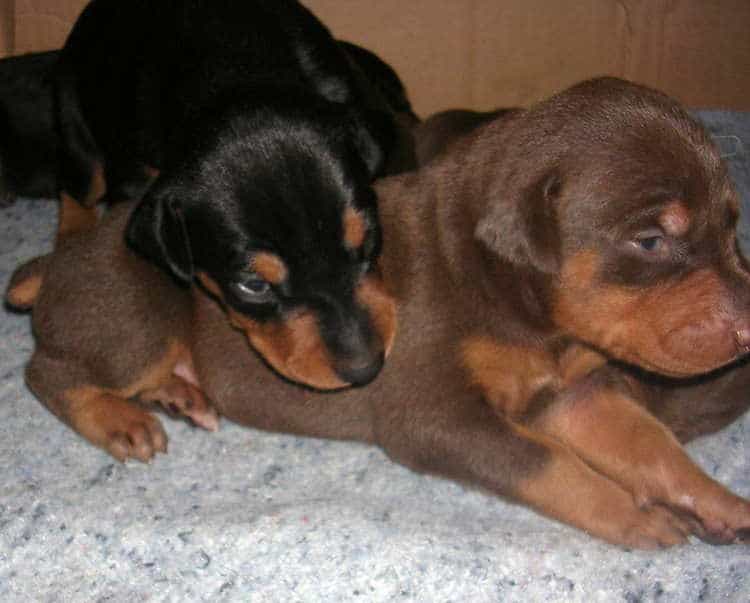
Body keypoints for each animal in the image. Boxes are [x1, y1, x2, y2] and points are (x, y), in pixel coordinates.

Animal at [8, 75, 750, 548]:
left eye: (733, 225)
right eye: (650, 241)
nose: (749, 331)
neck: (528, 315)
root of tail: (57, 260)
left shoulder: (574, 393)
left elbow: (652, 443)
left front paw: (721, 505)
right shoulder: (438, 418)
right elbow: (552, 466)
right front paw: (637, 518)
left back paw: (179, 395)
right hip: (138, 313)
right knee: (46, 371)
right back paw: (122, 420)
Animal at [53, 0, 418, 386]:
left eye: (369, 239)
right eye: (254, 286)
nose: (365, 370)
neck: (231, 74)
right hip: (72, 119)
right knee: (75, 187)